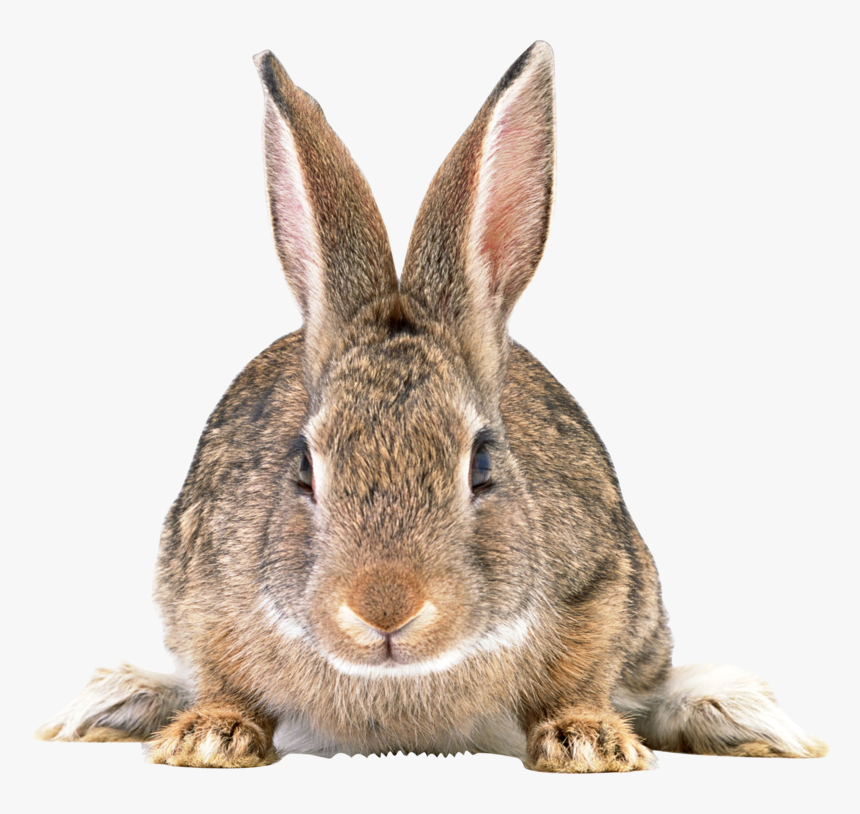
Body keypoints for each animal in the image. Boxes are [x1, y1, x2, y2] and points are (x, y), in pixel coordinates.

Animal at [35, 41, 828, 772]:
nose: (386, 608)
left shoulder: (604, 588)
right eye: (304, 468)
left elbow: (581, 680)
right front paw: (208, 739)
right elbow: (224, 677)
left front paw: (587, 744)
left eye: (481, 464)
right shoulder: (205, 595)